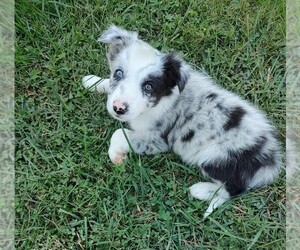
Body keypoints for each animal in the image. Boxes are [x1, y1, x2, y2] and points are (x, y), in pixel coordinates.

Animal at [82, 24, 282, 218]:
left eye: (148, 86)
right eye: (118, 73)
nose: (118, 108)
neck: (164, 99)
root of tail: (270, 158)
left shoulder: (156, 140)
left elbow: (119, 133)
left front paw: (116, 156)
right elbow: (107, 86)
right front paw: (92, 81)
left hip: (214, 158)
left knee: (233, 189)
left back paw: (201, 190)